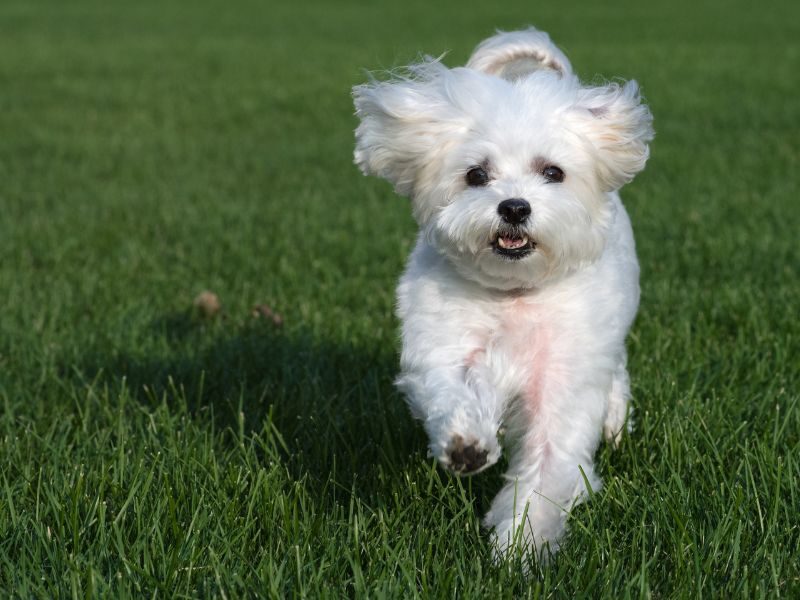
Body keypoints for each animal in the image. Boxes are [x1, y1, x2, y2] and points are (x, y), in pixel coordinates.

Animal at [354, 28, 652, 560]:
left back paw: (616, 422)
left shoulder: (563, 380)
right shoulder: (442, 341)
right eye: (477, 174)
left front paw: (519, 548)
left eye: (553, 172)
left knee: (615, 373)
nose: (514, 207)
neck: (516, 294)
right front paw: (466, 445)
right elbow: (448, 388)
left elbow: (547, 468)